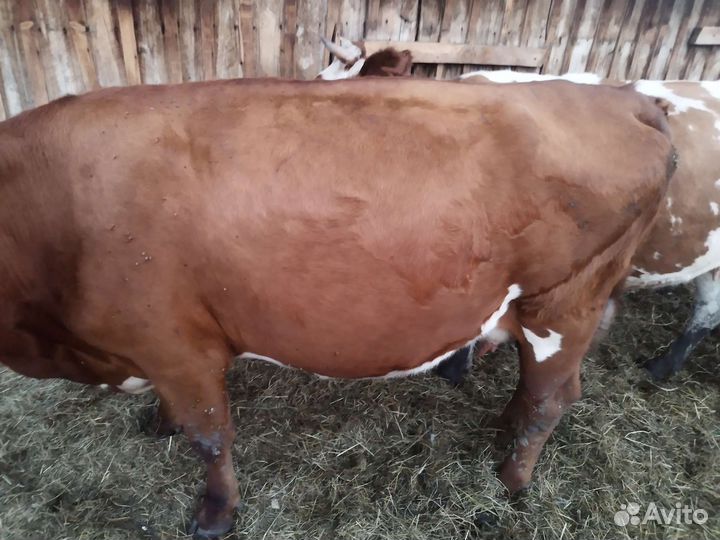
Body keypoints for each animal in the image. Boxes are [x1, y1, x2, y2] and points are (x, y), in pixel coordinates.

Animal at [0, 78, 675, 538]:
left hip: (561, 303)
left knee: (551, 398)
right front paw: (159, 424)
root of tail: (622, 98)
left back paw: (510, 480)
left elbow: (210, 438)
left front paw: (215, 514)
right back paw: (502, 433)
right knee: (540, 392)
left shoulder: (176, 346)